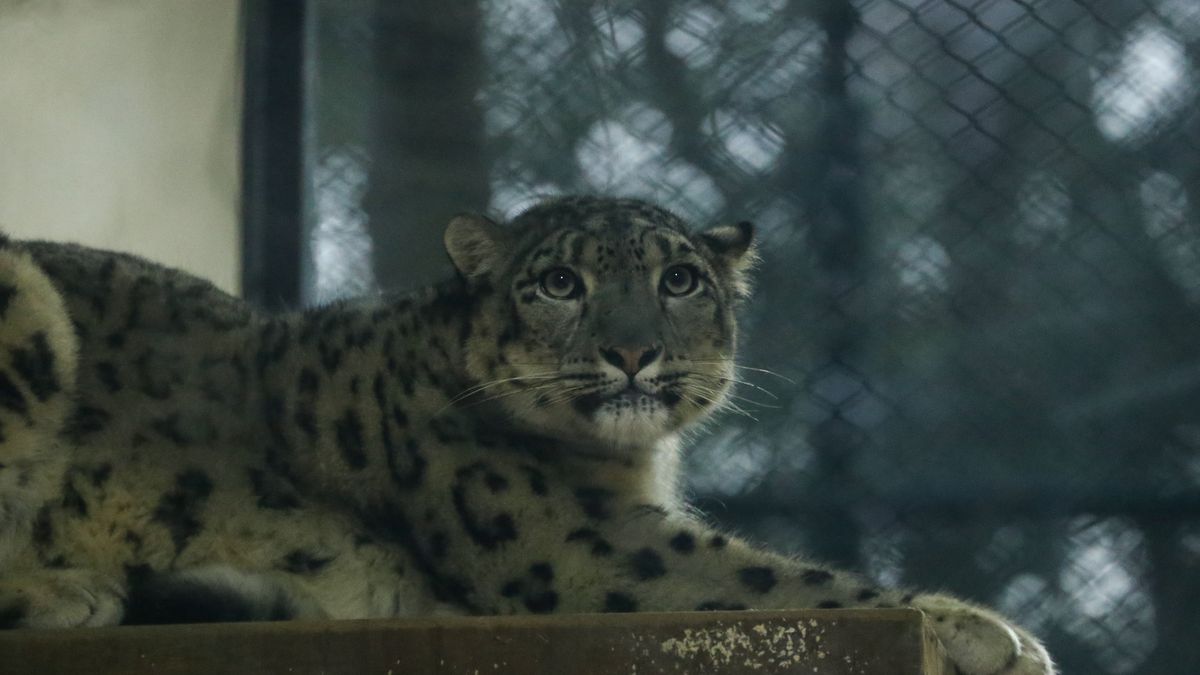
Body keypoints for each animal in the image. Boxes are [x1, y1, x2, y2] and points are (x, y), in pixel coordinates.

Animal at [0, 196, 1054, 674]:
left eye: (680, 279)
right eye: (558, 282)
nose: (631, 351)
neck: (633, 465)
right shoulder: (576, 544)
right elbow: (770, 577)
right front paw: (984, 630)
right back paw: (72, 589)